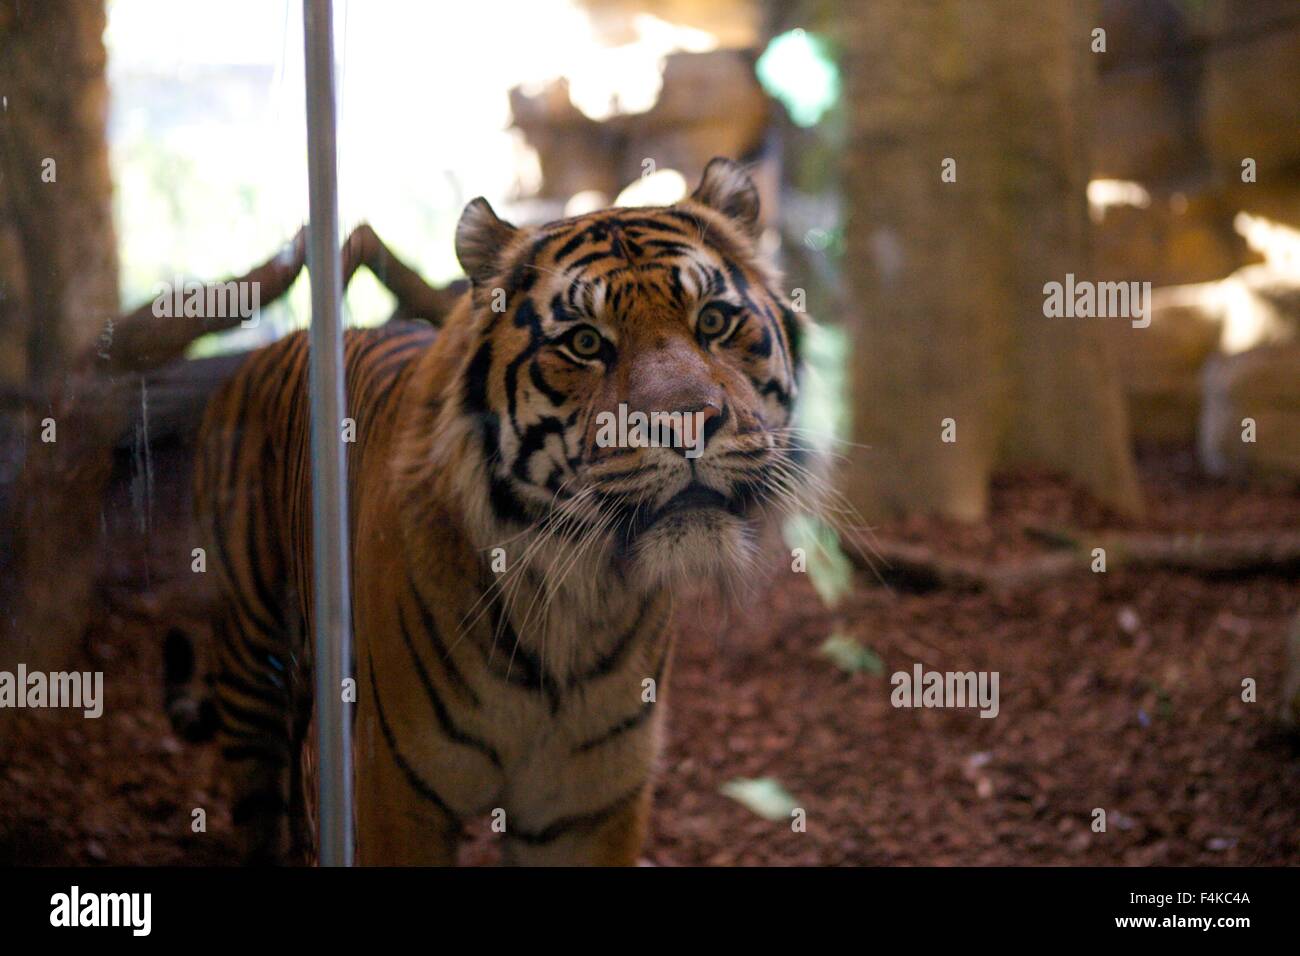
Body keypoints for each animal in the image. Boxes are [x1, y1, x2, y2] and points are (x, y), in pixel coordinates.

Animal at [192, 158, 806, 868]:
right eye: (585, 342)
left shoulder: (587, 807)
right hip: (251, 673)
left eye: (712, 322)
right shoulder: (390, 789)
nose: (685, 424)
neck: (575, 605)